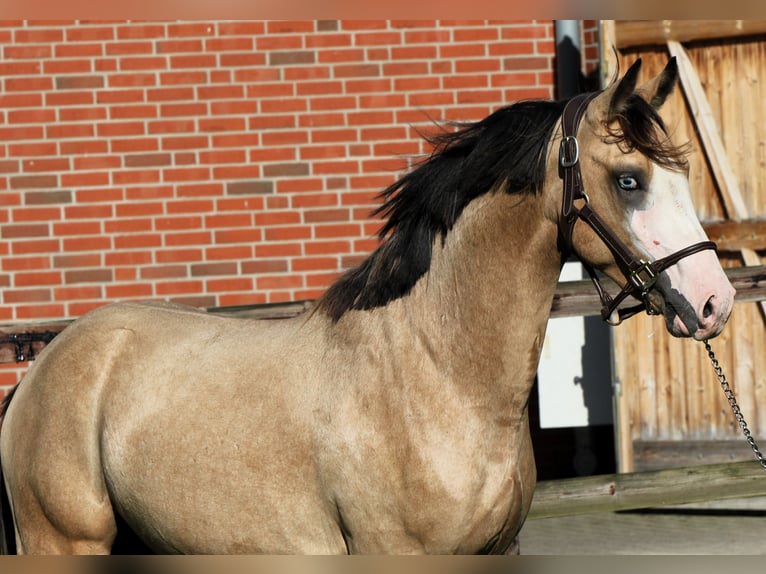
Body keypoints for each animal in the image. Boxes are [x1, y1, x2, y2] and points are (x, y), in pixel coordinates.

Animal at [0, 57, 736, 552]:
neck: (433, 375)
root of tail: (41, 370)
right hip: (63, 544)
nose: (714, 301)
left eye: (681, 173)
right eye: (630, 180)